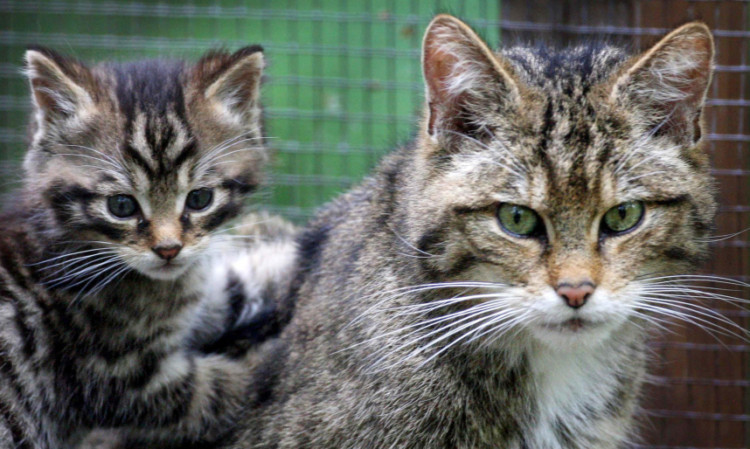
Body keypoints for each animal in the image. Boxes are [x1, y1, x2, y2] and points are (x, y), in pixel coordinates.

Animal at [0, 46, 276, 448]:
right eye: (121, 206)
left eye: (200, 199)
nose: (168, 249)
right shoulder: (115, 378)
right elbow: (216, 389)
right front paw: (273, 360)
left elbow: (226, 289)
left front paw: (294, 254)